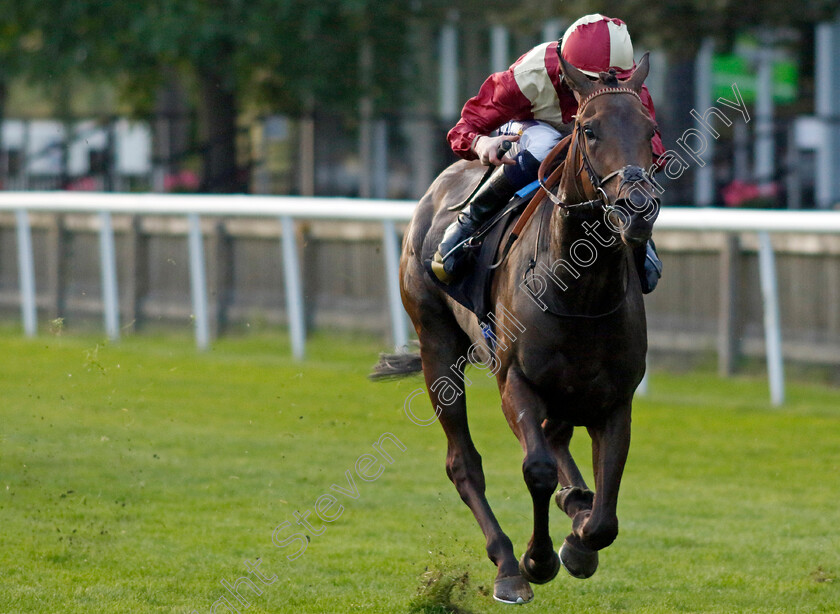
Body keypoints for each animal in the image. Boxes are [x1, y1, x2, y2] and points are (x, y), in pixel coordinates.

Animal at [372, 53, 656, 608]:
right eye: (589, 130)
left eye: (650, 130)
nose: (637, 209)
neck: (580, 291)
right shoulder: (516, 381)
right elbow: (536, 469)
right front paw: (537, 560)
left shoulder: (615, 399)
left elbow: (604, 516)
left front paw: (579, 539)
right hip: (438, 344)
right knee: (465, 463)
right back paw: (506, 563)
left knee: (557, 441)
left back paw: (574, 502)